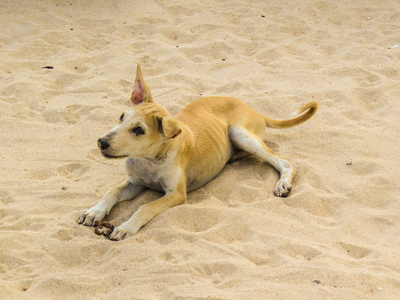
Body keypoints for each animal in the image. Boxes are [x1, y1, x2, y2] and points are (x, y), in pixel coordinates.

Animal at [78, 64, 318, 240]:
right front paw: (94, 211)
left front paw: (126, 226)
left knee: (284, 162)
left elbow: (145, 207)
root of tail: (252, 109)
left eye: (139, 130)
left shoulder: (176, 194)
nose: (101, 142)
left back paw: (282, 184)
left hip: (239, 133)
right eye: (121, 117)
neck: (149, 161)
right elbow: (111, 191)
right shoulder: (134, 183)